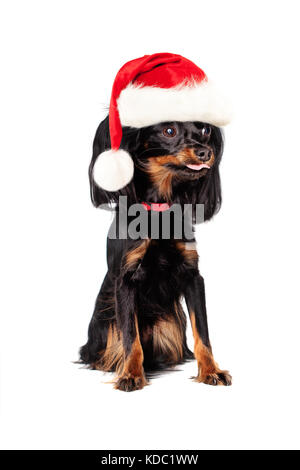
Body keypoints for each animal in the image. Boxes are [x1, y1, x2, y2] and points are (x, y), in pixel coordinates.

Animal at [79, 116, 232, 390]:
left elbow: (202, 331)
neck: (159, 211)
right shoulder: (125, 280)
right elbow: (131, 336)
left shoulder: (193, 276)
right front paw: (130, 374)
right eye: (169, 131)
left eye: (205, 129)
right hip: (106, 321)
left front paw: (211, 370)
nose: (206, 152)